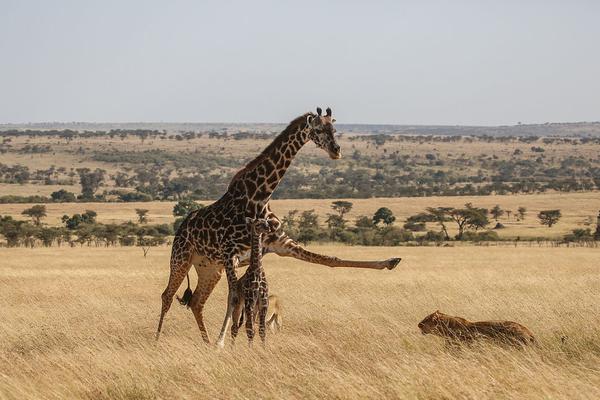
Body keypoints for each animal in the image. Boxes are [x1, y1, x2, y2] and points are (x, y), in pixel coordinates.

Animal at [231, 217, 274, 346]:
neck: (257, 270)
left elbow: (261, 330)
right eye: (258, 224)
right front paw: (250, 349)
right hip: (239, 304)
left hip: (254, 307)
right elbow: (249, 329)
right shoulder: (250, 300)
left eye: (267, 222)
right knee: (234, 327)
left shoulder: (263, 302)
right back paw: (231, 348)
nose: (268, 228)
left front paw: (263, 348)